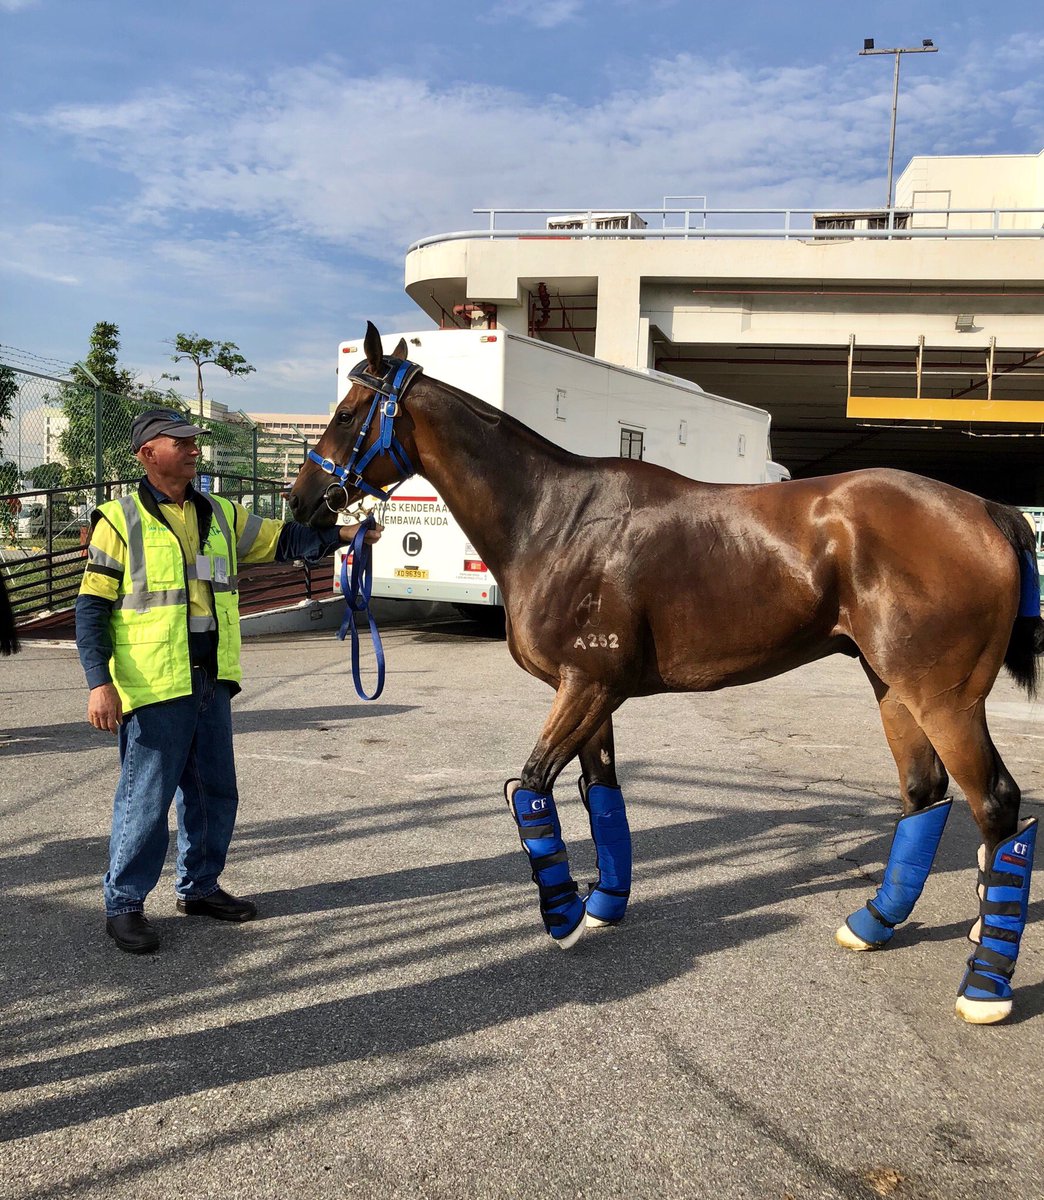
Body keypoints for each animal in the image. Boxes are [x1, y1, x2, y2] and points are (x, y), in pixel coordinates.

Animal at [287, 322, 1043, 1026]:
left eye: (349, 413)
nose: (301, 503)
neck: (554, 519)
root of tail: (985, 509)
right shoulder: (593, 692)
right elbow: (599, 793)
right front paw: (602, 903)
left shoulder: (587, 686)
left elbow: (529, 787)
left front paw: (563, 916)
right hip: (893, 689)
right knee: (926, 794)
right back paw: (881, 922)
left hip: (943, 697)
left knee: (996, 804)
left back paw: (985, 985)